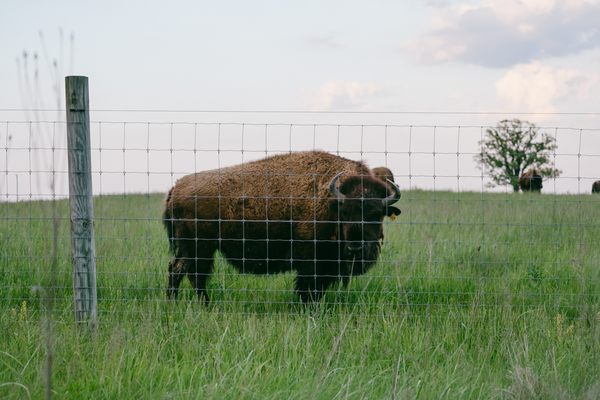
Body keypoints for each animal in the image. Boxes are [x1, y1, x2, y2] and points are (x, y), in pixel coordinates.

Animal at [162, 150, 400, 304]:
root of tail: (175, 188)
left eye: (376, 215)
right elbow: (308, 288)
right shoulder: (312, 262)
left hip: (195, 249)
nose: (355, 248)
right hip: (199, 248)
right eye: (345, 213)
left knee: (180, 271)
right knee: (188, 273)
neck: (331, 201)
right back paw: (200, 305)